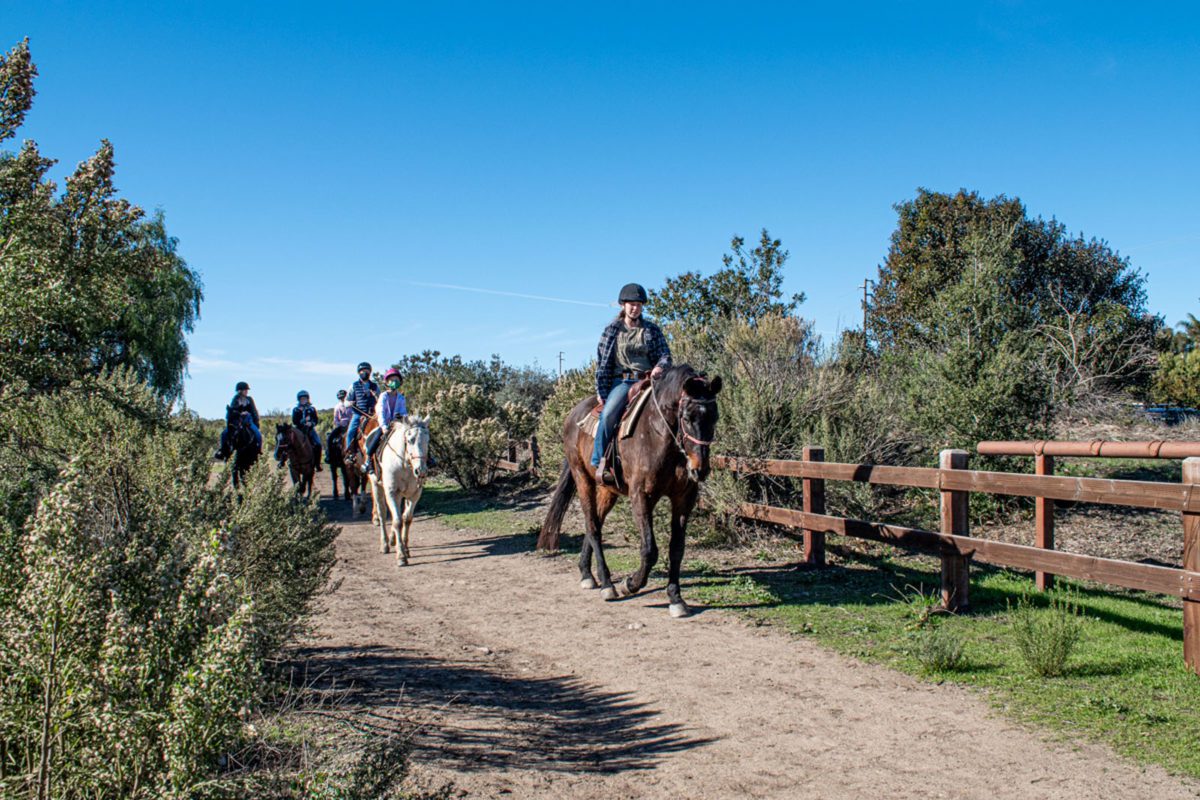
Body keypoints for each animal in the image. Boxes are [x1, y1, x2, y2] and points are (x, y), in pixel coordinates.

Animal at [372, 417, 434, 566]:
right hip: (376, 486)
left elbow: (406, 519)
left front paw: (405, 549)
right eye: (410, 440)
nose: (421, 471)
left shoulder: (414, 494)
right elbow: (397, 521)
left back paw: (392, 539)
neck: (404, 464)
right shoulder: (392, 493)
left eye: (427, 440)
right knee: (382, 514)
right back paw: (384, 544)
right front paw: (401, 556)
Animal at [537, 362, 720, 618]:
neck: (659, 434)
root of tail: (572, 415)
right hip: (582, 478)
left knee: (595, 522)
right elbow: (650, 549)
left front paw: (676, 598)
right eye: (686, 416)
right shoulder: (641, 496)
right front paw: (630, 584)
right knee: (593, 527)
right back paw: (607, 585)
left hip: (608, 490)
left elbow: (676, 548)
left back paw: (586, 573)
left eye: (715, 417)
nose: (699, 469)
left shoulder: (684, 498)